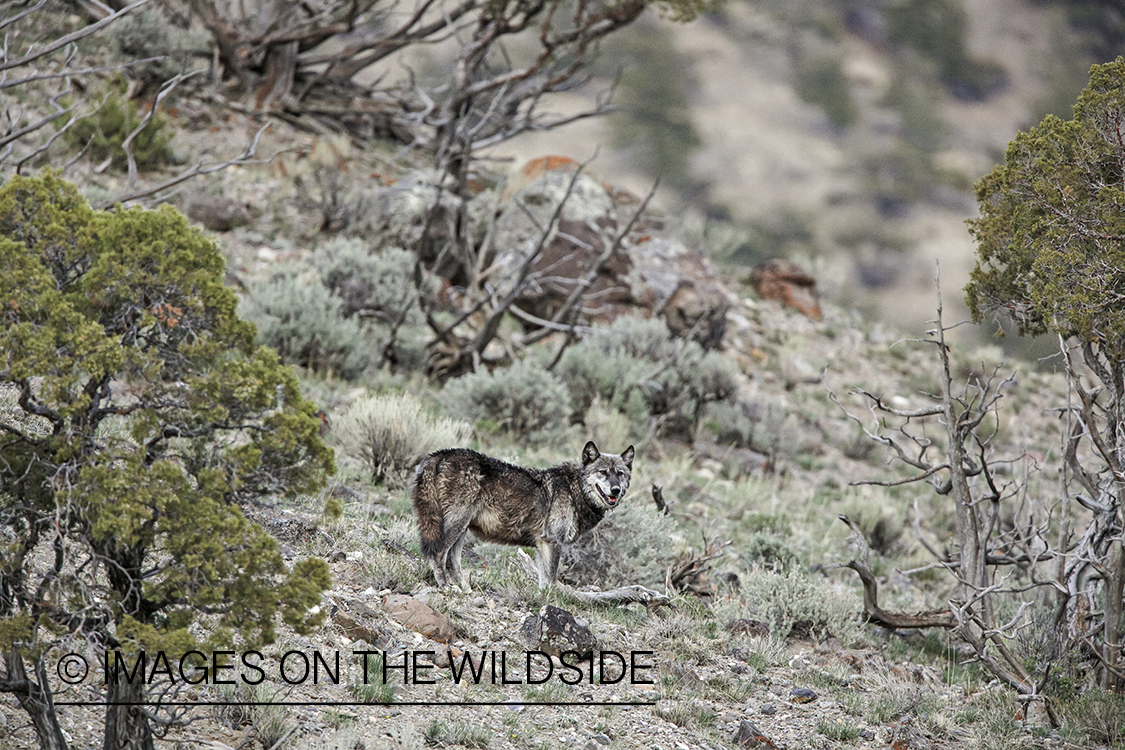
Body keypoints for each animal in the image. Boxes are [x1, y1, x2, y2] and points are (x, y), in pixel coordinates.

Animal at [412, 441, 634, 589]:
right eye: (602, 472)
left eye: (620, 473)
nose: (615, 490)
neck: (574, 489)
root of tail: (439, 454)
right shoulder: (552, 542)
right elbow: (552, 580)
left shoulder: (542, 545)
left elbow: (544, 581)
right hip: (455, 525)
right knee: (438, 554)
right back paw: (445, 586)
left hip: (462, 528)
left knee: (453, 560)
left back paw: (465, 589)